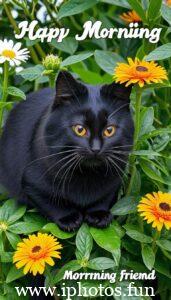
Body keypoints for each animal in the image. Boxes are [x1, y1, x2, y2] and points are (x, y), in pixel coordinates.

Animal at [0, 71, 134, 231]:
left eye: (109, 130)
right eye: (79, 129)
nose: (95, 148)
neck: (86, 176)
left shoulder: (115, 179)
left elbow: (103, 197)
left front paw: (98, 214)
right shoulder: (31, 183)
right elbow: (50, 203)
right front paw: (68, 218)